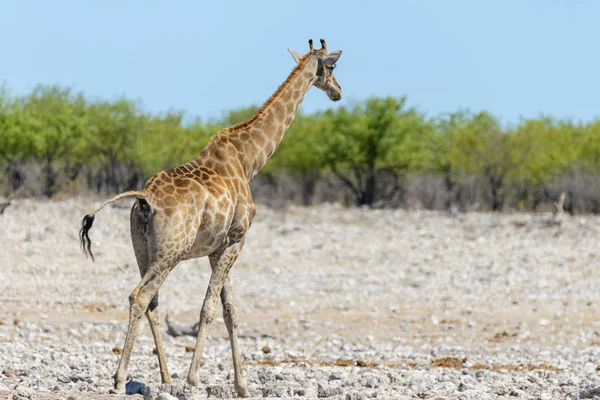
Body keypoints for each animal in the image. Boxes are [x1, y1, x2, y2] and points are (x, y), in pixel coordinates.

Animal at [79, 39, 342, 396]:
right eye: (332, 67)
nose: (337, 91)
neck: (249, 160)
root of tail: (145, 199)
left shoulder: (218, 247)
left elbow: (230, 310)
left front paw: (242, 386)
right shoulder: (237, 239)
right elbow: (209, 308)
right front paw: (195, 378)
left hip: (142, 250)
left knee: (152, 302)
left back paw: (165, 377)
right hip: (171, 252)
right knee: (140, 296)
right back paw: (121, 379)